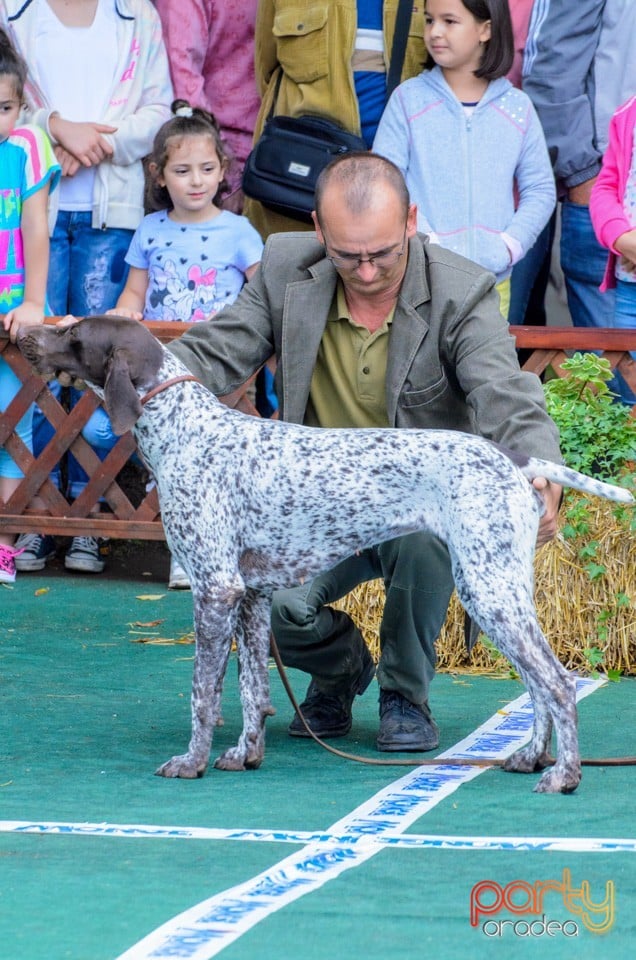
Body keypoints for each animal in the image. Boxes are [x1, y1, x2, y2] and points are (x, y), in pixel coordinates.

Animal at [17, 318, 632, 792]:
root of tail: (514, 460)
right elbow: (252, 690)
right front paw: (244, 755)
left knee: (556, 683)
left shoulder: (214, 589)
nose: (23, 334)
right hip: (501, 591)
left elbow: (203, 695)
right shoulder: (251, 597)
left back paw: (563, 776)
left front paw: (192, 762)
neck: (183, 430)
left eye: (72, 333)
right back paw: (529, 756)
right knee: (536, 684)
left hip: (488, 590)